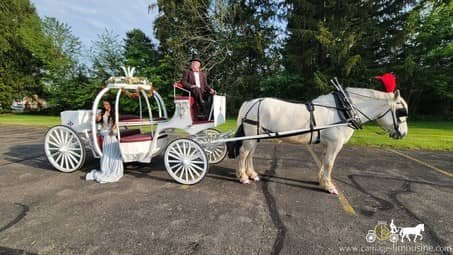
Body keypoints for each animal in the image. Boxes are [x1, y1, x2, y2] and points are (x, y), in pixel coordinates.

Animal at [228, 87, 408, 193]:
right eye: (401, 112)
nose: (404, 133)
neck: (344, 109)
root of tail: (249, 102)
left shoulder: (328, 144)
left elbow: (323, 161)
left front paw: (320, 180)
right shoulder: (335, 144)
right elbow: (329, 163)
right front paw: (329, 186)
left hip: (256, 136)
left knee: (250, 154)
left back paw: (252, 174)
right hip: (251, 136)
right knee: (244, 153)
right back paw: (243, 176)